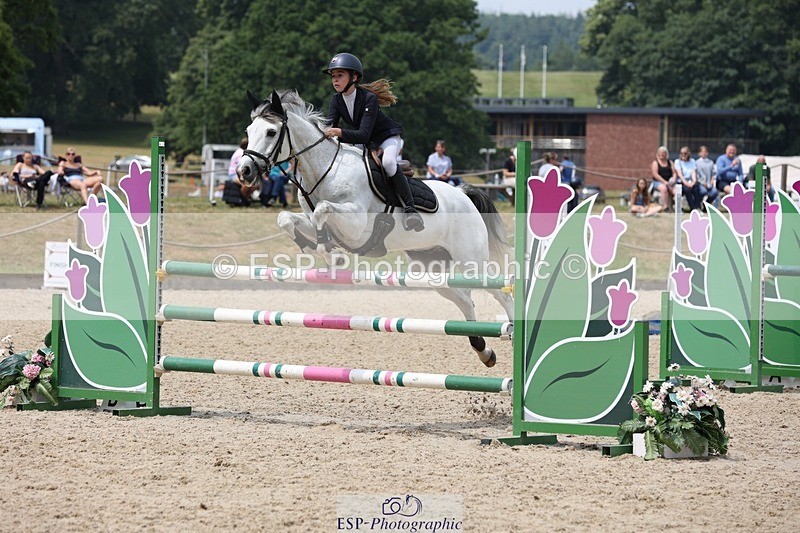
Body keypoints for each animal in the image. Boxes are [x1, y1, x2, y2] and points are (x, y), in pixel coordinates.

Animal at [236, 89, 514, 367]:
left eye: (271, 132)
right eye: (249, 130)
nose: (244, 171)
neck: (326, 171)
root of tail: (463, 194)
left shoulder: (357, 226)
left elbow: (322, 210)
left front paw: (332, 255)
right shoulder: (317, 219)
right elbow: (287, 218)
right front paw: (315, 248)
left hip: (472, 262)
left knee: (502, 294)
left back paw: (510, 333)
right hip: (435, 269)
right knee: (466, 301)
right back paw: (483, 351)